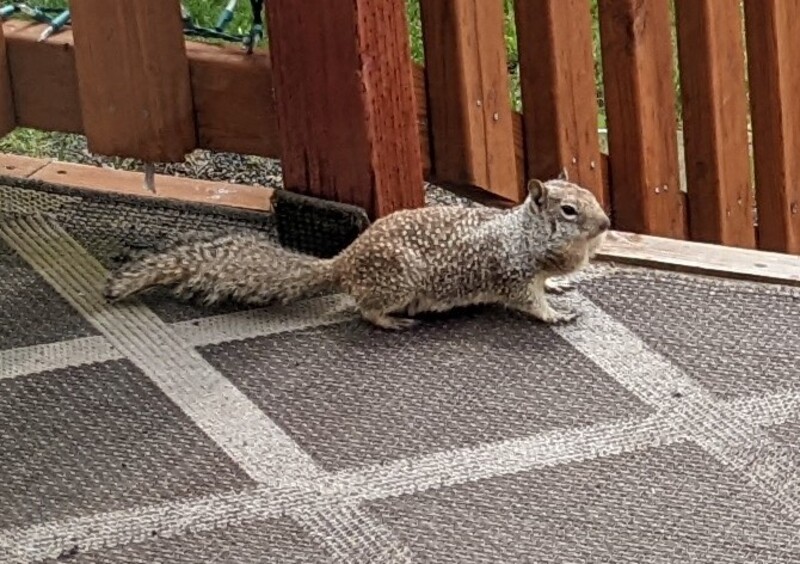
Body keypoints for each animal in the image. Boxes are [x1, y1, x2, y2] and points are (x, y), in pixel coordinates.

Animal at [103, 177, 608, 330]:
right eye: (568, 210)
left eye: (590, 194)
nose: (606, 223)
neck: (525, 234)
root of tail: (342, 263)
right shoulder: (514, 273)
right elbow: (530, 303)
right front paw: (557, 313)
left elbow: (548, 284)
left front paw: (561, 285)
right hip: (397, 283)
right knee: (365, 310)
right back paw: (393, 322)